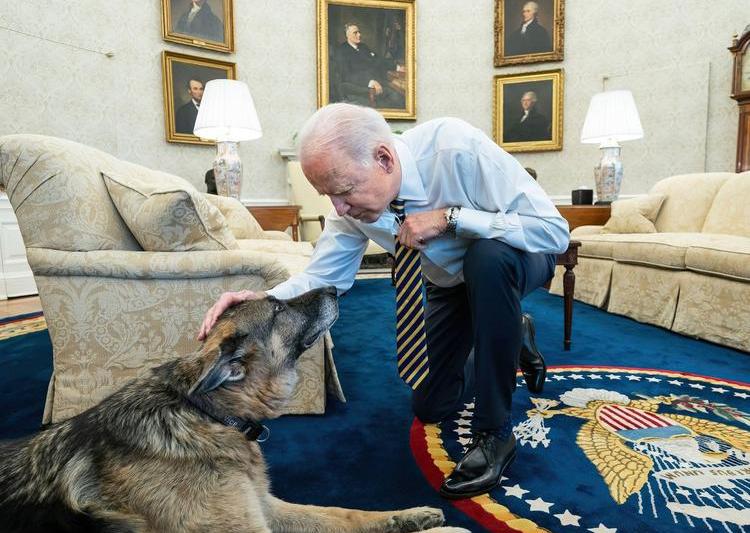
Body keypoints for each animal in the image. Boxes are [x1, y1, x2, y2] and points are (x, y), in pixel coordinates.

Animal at [0, 288, 470, 532]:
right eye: (278, 307)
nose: (335, 288)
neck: (205, 414)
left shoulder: (266, 506)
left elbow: (343, 513)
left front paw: (410, 517)